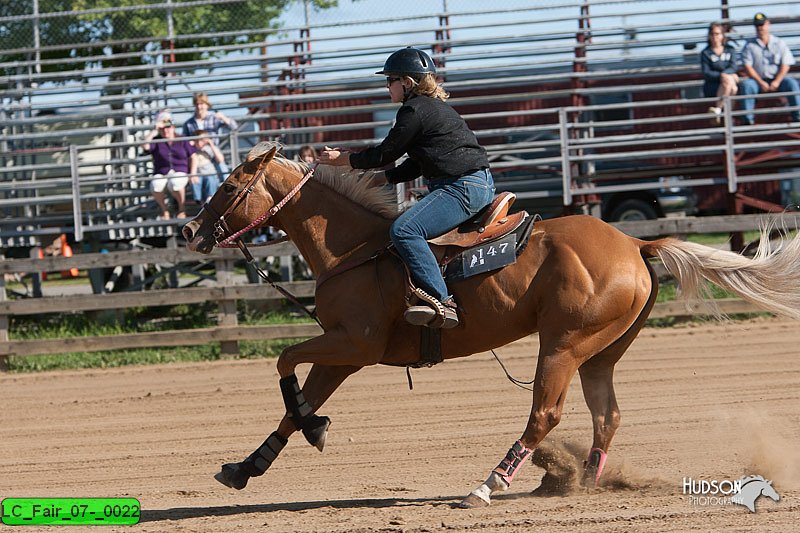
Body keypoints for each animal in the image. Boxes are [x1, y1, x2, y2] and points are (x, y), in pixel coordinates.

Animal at [181, 142, 800, 508]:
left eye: (229, 186)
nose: (189, 230)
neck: (354, 249)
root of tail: (634, 243)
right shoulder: (346, 354)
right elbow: (295, 402)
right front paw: (248, 465)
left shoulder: (352, 343)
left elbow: (284, 362)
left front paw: (314, 428)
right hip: (600, 352)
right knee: (607, 415)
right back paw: (582, 484)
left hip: (562, 347)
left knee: (545, 414)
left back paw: (489, 483)